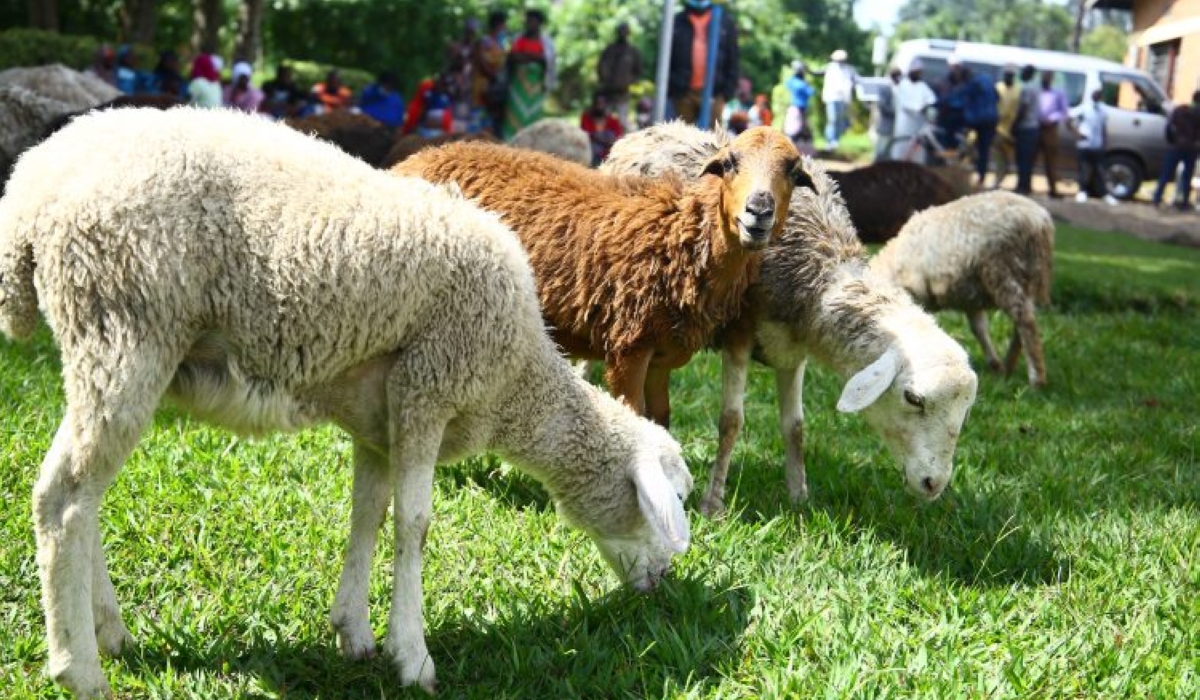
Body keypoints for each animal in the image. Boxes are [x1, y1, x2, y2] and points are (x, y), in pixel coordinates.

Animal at [0, 107, 693, 698]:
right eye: (670, 501)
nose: (663, 586)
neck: (516, 380)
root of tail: (30, 186)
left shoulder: (377, 420)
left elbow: (369, 514)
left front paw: (354, 632)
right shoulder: (428, 386)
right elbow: (415, 524)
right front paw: (411, 656)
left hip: (104, 346)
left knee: (83, 497)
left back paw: (110, 632)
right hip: (126, 327)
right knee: (63, 500)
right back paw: (79, 667)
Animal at [394, 127, 814, 428]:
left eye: (794, 172)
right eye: (729, 163)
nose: (759, 210)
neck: (679, 234)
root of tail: (413, 161)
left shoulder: (661, 357)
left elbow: (660, 420)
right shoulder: (629, 347)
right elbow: (634, 417)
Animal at [870, 190, 1054, 387]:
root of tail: (1039, 220)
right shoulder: (970, 300)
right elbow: (979, 329)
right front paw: (994, 364)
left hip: (1003, 271)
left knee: (1026, 322)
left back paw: (1036, 379)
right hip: (1031, 277)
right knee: (1022, 324)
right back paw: (1007, 369)